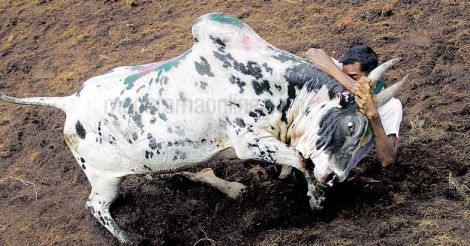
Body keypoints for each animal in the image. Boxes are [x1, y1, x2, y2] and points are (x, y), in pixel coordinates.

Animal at [0, 12, 406, 243]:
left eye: (370, 144)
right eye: (351, 125)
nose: (337, 177)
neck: (278, 86)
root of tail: (70, 101)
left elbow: (296, 161)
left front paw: (292, 182)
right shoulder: (249, 141)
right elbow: (302, 160)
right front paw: (315, 198)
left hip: (148, 160)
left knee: (167, 174)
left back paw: (228, 187)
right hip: (103, 178)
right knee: (96, 207)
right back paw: (130, 238)